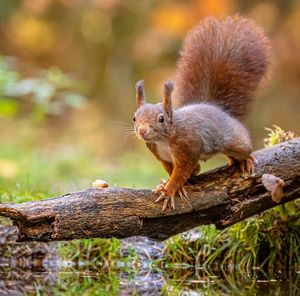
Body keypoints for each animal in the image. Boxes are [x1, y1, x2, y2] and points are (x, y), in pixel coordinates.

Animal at [132, 15, 270, 210]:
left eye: (161, 119)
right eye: (134, 118)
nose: (142, 131)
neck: (164, 139)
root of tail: (216, 107)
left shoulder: (187, 148)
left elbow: (181, 172)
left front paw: (169, 190)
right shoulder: (162, 156)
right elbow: (179, 171)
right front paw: (168, 184)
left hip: (236, 141)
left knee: (243, 148)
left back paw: (245, 160)